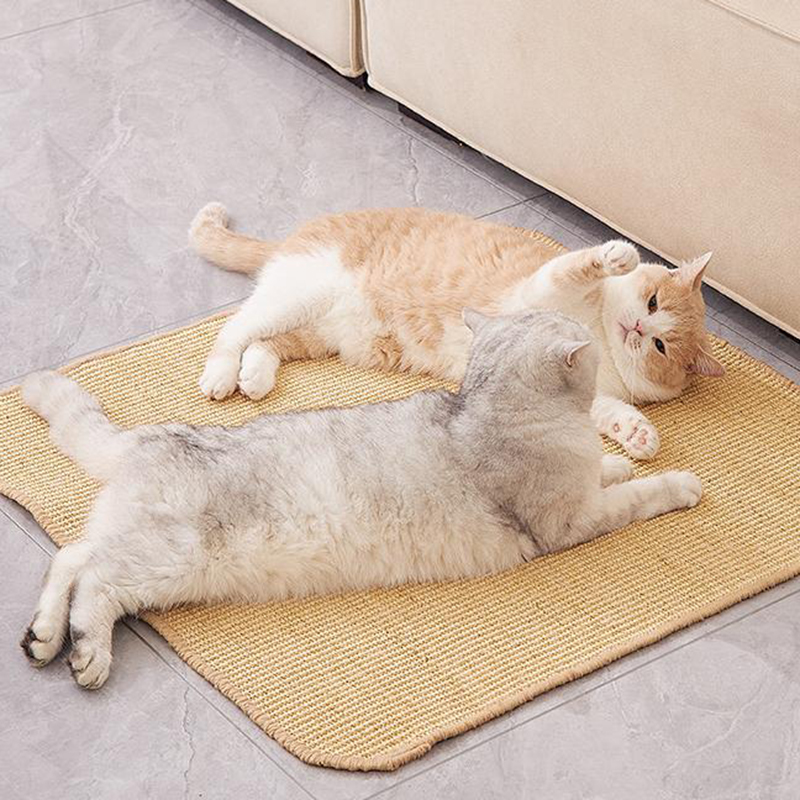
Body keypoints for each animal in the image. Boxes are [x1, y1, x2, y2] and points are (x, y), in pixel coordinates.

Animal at [20, 309, 702, 690]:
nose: (607, 332)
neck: (483, 409)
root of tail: (147, 437)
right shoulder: (572, 521)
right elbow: (638, 494)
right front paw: (678, 483)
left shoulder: (582, 489)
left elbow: (607, 471)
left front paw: (615, 458)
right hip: (169, 559)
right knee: (97, 582)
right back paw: (86, 652)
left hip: (142, 548)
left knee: (72, 558)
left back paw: (44, 635)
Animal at [189, 204, 724, 461]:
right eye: (652, 302)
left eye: (660, 345)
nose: (637, 326)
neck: (598, 332)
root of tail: (293, 237)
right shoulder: (540, 287)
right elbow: (578, 266)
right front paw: (618, 255)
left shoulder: (584, 393)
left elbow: (614, 414)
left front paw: (638, 435)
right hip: (296, 296)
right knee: (234, 330)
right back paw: (220, 377)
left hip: (322, 331)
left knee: (264, 344)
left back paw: (254, 378)